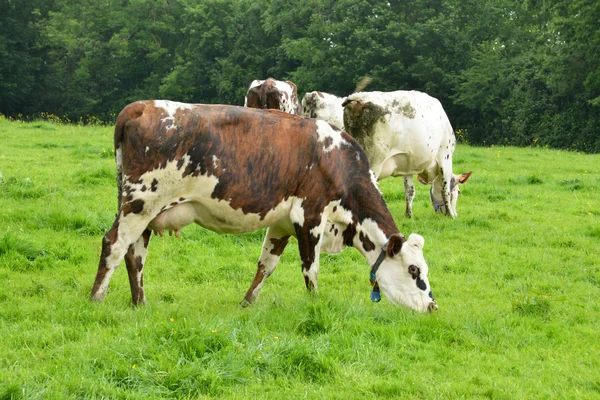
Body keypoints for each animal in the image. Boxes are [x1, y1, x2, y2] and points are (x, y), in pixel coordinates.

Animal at [89, 100, 436, 312]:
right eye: (413, 269)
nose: (432, 306)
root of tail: (140, 107)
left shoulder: (282, 223)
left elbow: (266, 266)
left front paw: (247, 304)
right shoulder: (310, 217)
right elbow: (310, 268)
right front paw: (314, 305)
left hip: (145, 210)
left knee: (135, 254)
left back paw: (140, 303)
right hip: (141, 202)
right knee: (114, 244)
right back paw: (96, 298)